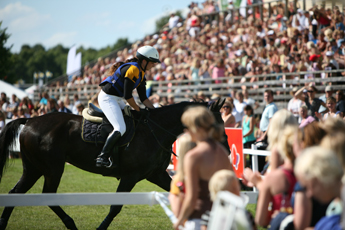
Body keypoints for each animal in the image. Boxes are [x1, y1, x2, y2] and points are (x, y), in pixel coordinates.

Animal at [0, 99, 227, 230]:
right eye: (214, 122)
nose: (227, 150)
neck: (155, 130)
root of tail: (30, 120)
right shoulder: (130, 177)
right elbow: (115, 207)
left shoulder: (156, 174)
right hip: (52, 168)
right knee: (47, 195)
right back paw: (71, 224)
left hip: (34, 168)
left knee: (16, 194)